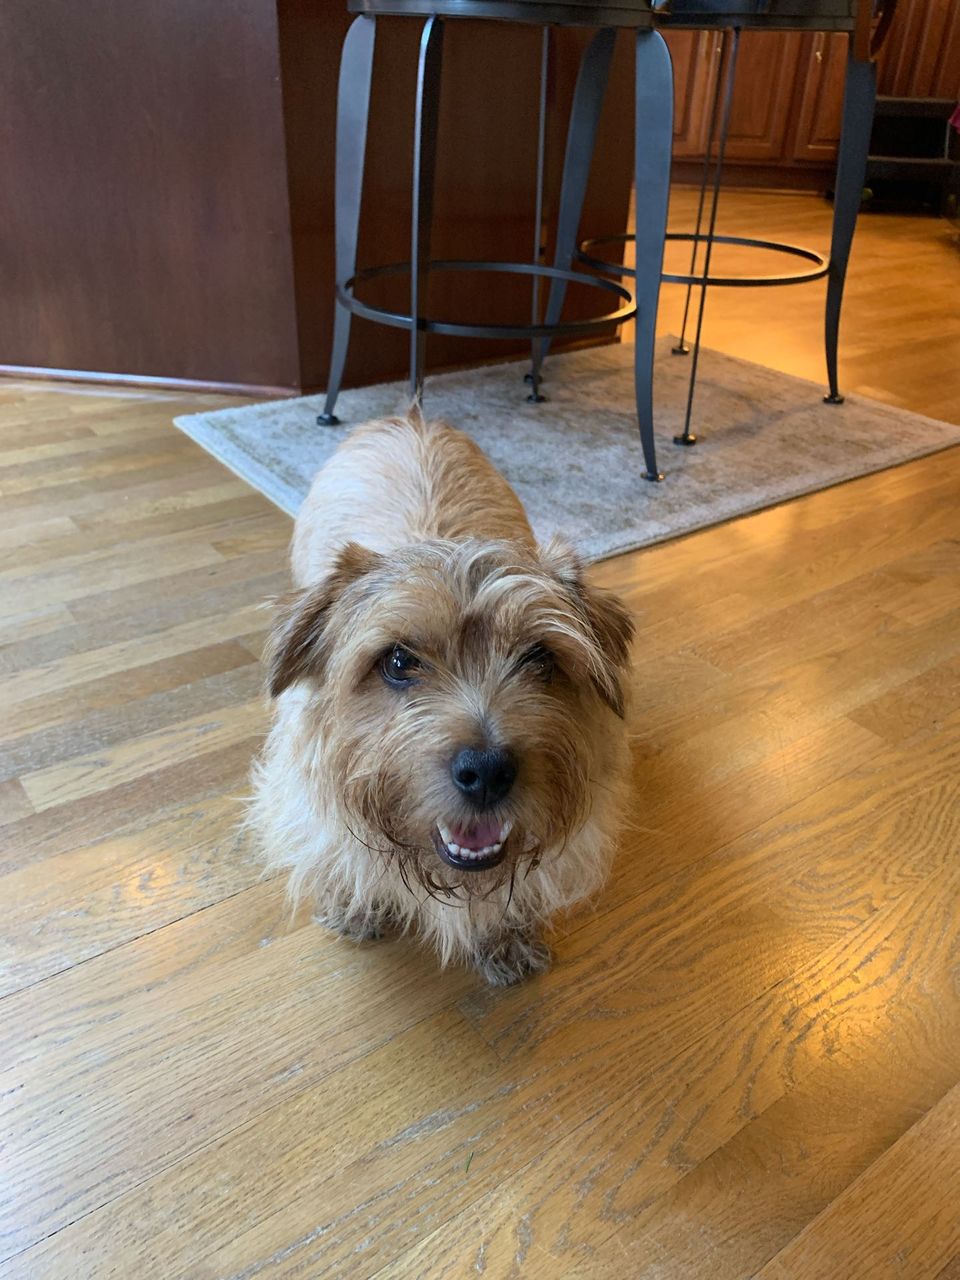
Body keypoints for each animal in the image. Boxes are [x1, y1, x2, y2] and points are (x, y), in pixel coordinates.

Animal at [249, 410, 634, 985]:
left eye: (540, 657)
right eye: (397, 662)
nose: (488, 771)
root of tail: (412, 416)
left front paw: (503, 936)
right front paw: (356, 901)